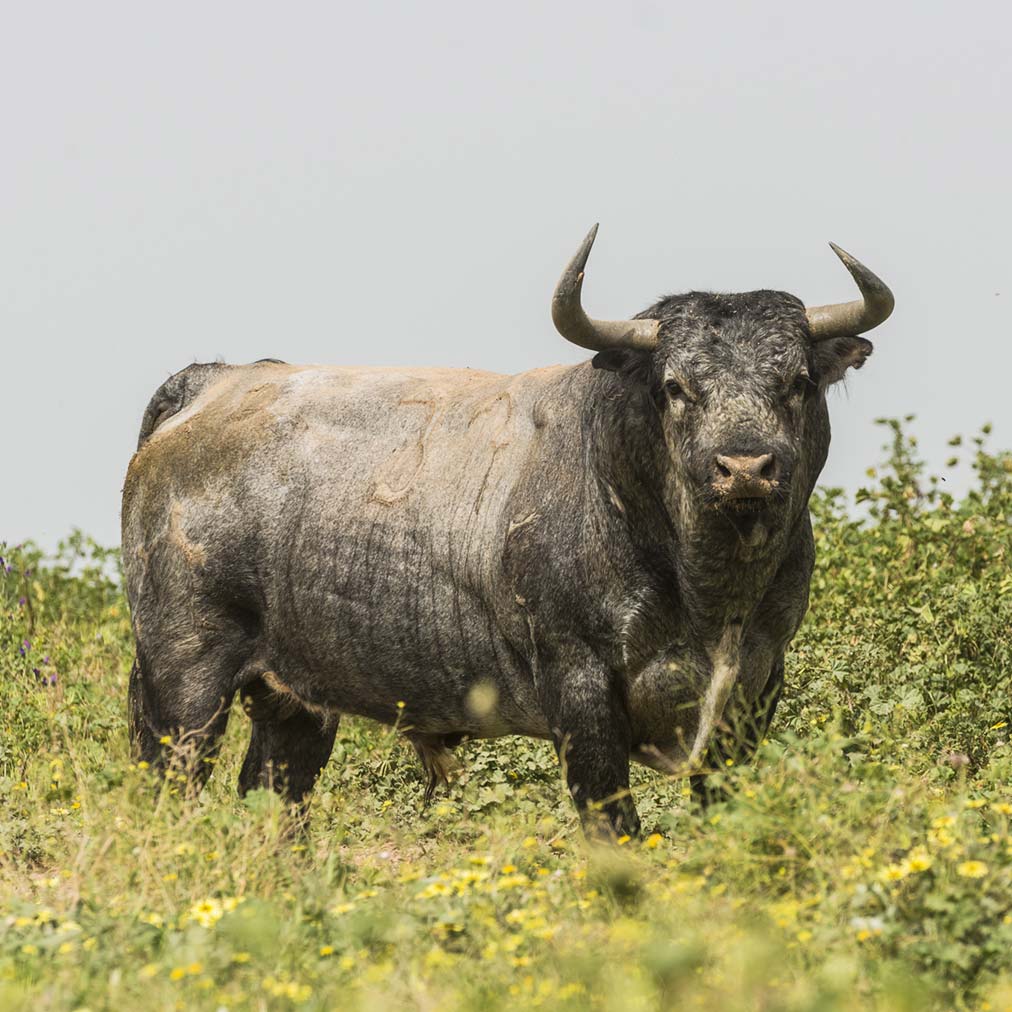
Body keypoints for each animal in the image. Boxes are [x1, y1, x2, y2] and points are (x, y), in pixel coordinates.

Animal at [124, 229, 894, 837]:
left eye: (798, 381)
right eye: (676, 386)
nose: (745, 467)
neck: (707, 592)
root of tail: (213, 384)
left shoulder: (756, 688)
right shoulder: (579, 687)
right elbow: (614, 825)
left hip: (294, 701)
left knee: (273, 801)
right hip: (184, 678)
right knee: (171, 790)